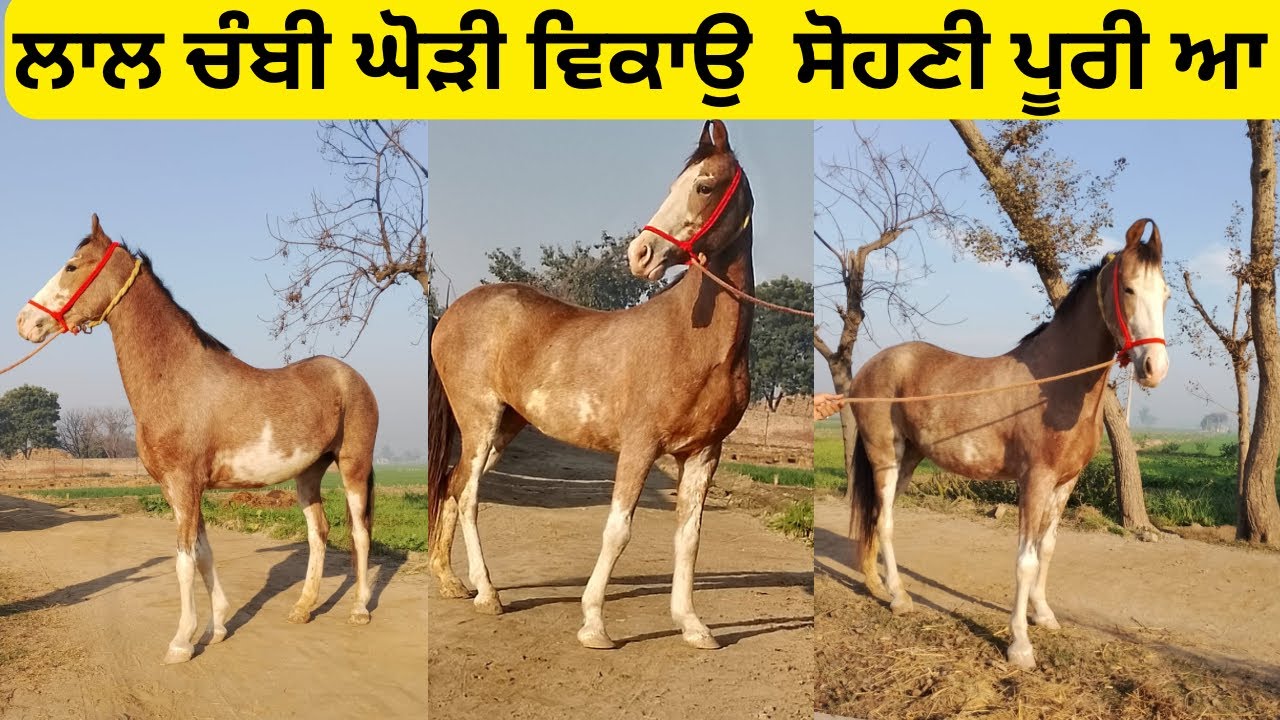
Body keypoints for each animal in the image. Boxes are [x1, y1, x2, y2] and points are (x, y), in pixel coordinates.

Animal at [15, 216, 380, 664]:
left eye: (71, 266)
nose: (25, 322)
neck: (178, 378)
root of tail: (351, 377)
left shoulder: (184, 484)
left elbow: (184, 562)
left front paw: (181, 642)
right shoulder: (178, 490)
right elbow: (204, 554)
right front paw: (217, 626)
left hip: (353, 466)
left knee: (359, 533)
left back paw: (360, 609)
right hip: (308, 474)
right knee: (319, 533)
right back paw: (302, 608)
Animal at [428, 120, 755, 650]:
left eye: (704, 186)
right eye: (677, 185)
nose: (641, 253)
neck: (694, 342)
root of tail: (452, 313)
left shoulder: (705, 453)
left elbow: (689, 537)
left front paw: (692, 625)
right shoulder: (640, 447)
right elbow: (618, 531)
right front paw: (594, 624)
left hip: (506, 426)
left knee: (455, 486)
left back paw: (452, 580)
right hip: (479, 420)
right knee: (471, 494)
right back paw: (489, 595)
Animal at [847, 218, 1170, 669]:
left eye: (1166, 294)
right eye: (1128, 289)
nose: (1155, 369)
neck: (1055, 384)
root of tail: (869, 369)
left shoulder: (1064, 483)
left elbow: (1047, 549)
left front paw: (1044, 615)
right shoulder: (1034, 481)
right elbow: (1025, 560)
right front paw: (1020, 645)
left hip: (910, 459)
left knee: (881, 517)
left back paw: (879, 586)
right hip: (885, 458)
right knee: (885, 522)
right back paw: (899, 598)